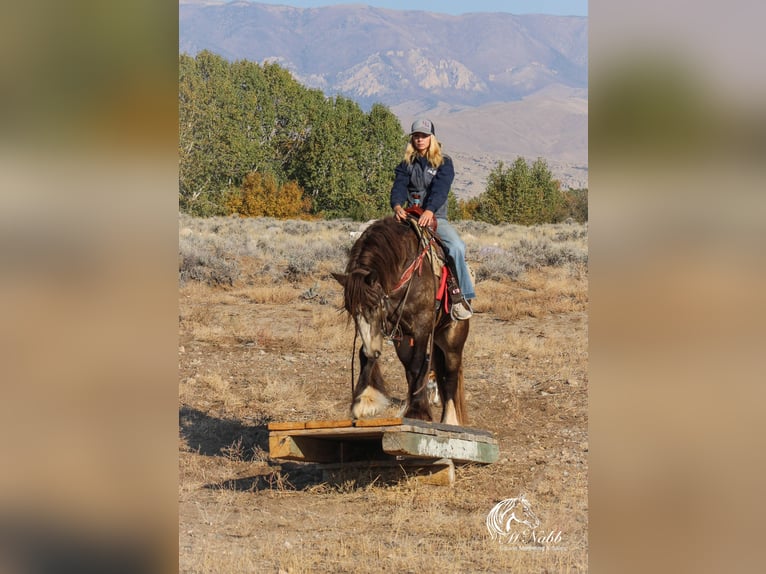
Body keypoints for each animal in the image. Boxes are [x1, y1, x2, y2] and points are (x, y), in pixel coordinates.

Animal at [332, 216, 472, 428]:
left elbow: (418, 364)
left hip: (453, 339)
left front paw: (417, 412)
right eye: (351, 310)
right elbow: (367, 355)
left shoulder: (422, 326)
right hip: (408, 341)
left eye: (374, 305)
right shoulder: (388, 327)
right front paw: (364, 401)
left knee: (450, 375)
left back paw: (449, 420)